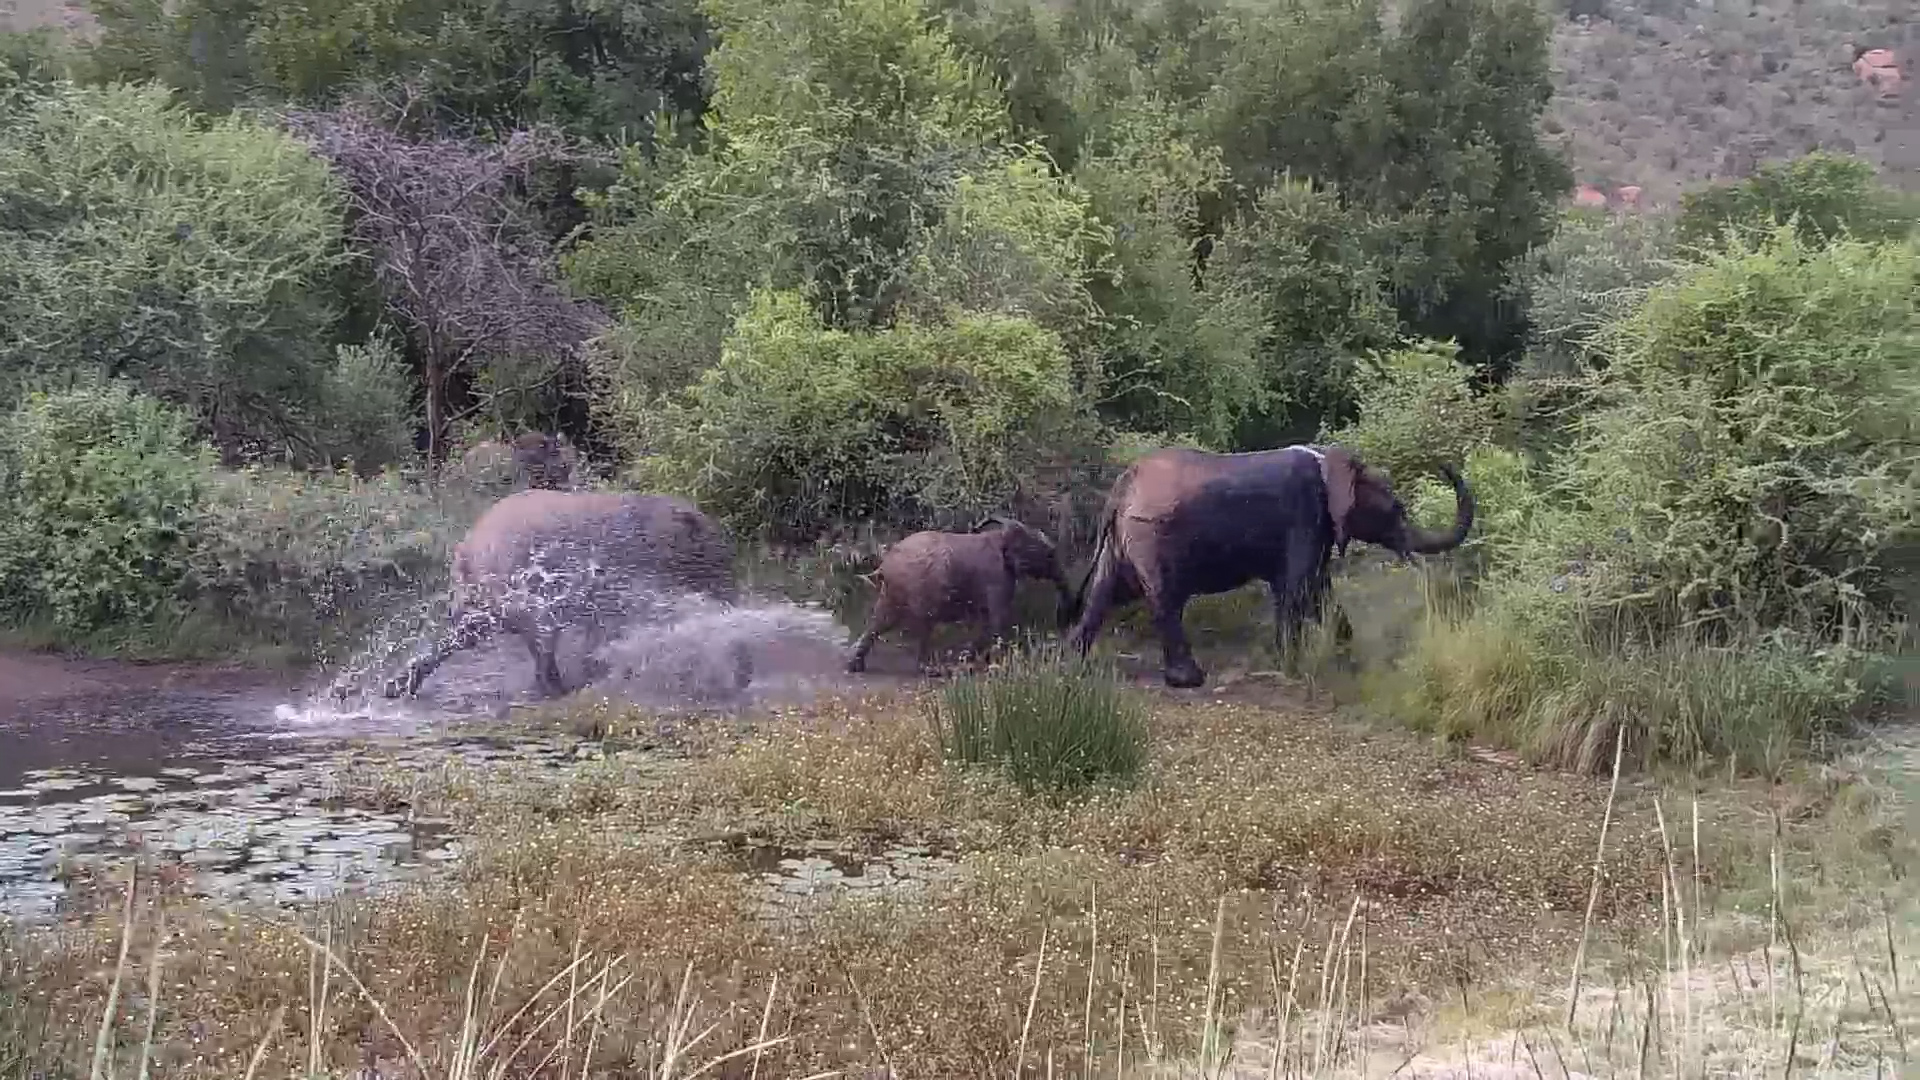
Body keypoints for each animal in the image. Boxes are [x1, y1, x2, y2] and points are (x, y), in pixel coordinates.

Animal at [376, 488, 752, 700]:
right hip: (516, 575)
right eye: (720, 561)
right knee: (531, 630)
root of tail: (467, 547)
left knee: (479, 630)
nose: (732, 598)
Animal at [844, 516, 1074, 675]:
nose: (1064, 616)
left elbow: (986, 618)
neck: (1001, 536)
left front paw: (969, 660)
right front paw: (978, 663)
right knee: (923, 625)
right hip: (916, 586)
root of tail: (884, 565)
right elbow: (996, 618)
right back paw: (930, 670)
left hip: (893, 590)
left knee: (880, 621)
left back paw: (855, 666)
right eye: (1050, 555)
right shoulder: (997, 576)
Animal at [1065, 443, 1474, 689]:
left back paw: (1071, 658)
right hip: (1150, 534)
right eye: (1396, 510)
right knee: (1163, 598)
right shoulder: (1304, 516)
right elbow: (1298, 589)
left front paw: (1346, 658)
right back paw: (1189, 679)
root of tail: (1122, 485)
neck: (1330, 461)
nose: (1443, 464)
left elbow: (1319, 590)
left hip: (1124, 539)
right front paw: (1291, 668)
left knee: (1104, 591)